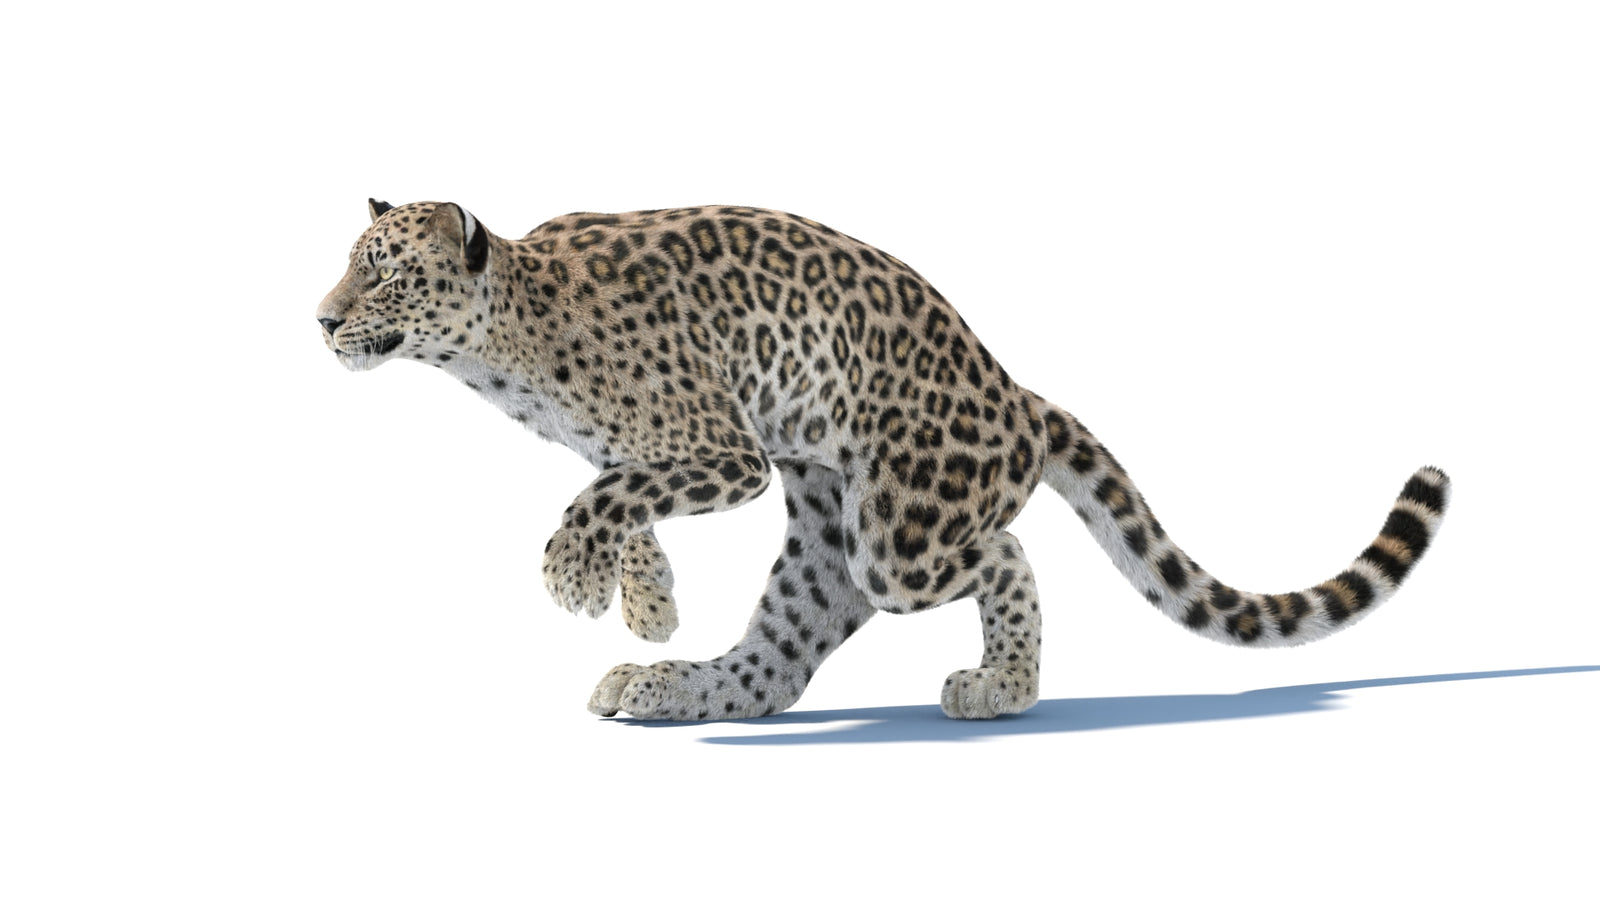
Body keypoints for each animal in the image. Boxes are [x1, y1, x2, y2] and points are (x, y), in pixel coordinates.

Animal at [315, 199, 1450, 720]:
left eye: (386, 274)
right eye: (348, 267)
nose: (321, 318)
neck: (501, 351)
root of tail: (1015, 391)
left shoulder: (725, 449)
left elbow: (608, 493)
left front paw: (576, 581)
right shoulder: (659, 452)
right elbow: (618, 497)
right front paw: (646, 606)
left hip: (898, 536)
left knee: (1005, 557)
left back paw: (1001, 688)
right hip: (828, 538)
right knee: (776, 661)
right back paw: (668, 682)